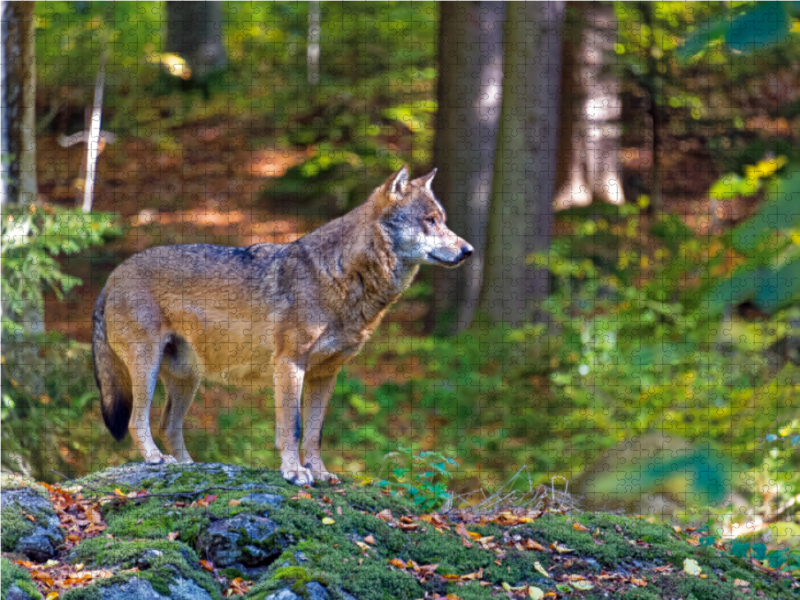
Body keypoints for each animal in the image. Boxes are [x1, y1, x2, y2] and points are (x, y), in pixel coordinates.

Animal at [92, 166, 476, 486]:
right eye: (429, 221)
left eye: (442, 220)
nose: (469, 250)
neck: (343, 275)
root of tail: (112, 275)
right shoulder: (289, 364)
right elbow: (292, 428)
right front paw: (295, 472)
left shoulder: (326, 374)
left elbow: (315, 433)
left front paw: (319, 473)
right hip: (148, 367)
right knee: (137, 421)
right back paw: (156, 459)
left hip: (188, 379)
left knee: (168, 425)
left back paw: (190, 466)